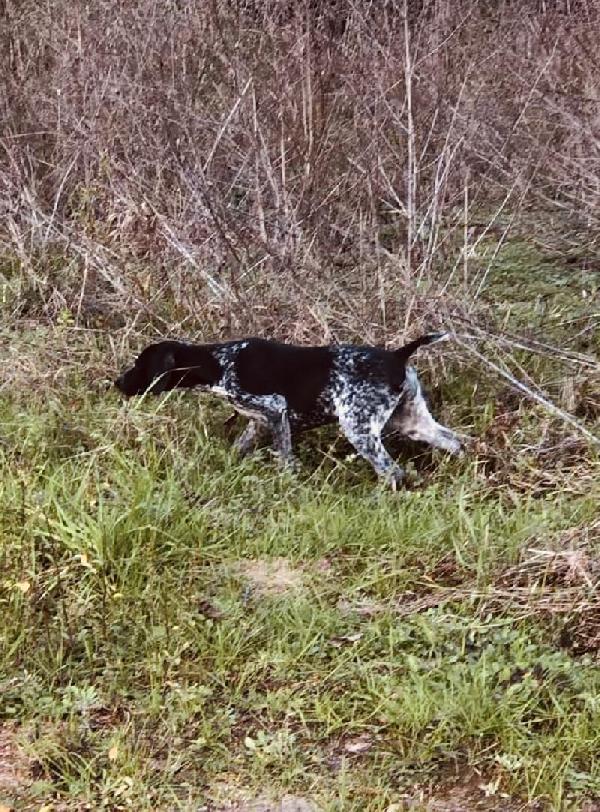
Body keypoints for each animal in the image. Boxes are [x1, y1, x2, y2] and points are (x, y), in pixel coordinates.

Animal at [116, 332, 464, 488]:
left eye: (139, 365)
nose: (117, 383)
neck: (221, 364)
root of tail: (398, 355)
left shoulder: (276, 411)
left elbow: (284, 459)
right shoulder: (258, 422)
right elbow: (239, 448)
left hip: (360, 429)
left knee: (392, 471)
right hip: (412, 422)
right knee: (456, 443)